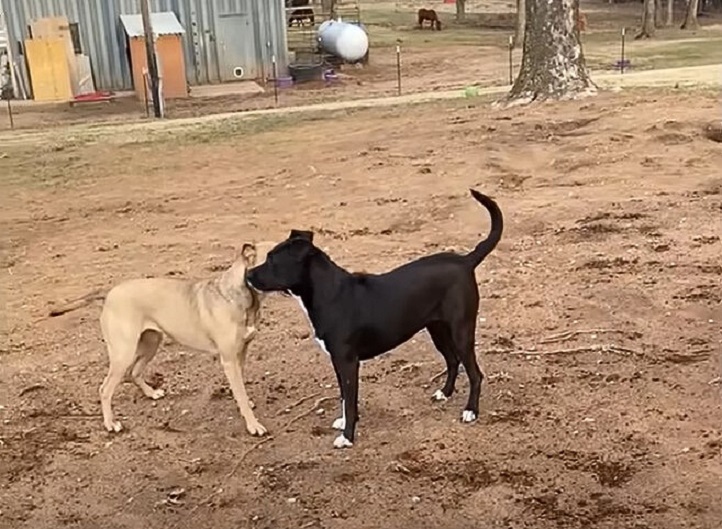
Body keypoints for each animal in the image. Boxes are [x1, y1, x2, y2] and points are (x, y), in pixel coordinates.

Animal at [47, 241, 272, 436]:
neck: (244, 297)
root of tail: (109, 293)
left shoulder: (241, 353)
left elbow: (240, 389)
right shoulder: (229, 360)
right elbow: (240, 392)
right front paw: (253, 424)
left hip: (150, 343)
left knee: (134, 372)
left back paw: (150, 393)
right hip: (124, 353)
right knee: (105, 389)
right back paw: (111, 424)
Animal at [246, 188, 500, 448]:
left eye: (272, 260)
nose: (248, 275)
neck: (329, 294)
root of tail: (465, 260)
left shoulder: (348, 362)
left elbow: (349, 400)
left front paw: (347, 437)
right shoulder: (338, 362)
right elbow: (345, 398)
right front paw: (344, 421)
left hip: (461, 331)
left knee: (475, 374)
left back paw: (471, 410)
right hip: (437, 329)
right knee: (452, 361)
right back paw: (445, 393)